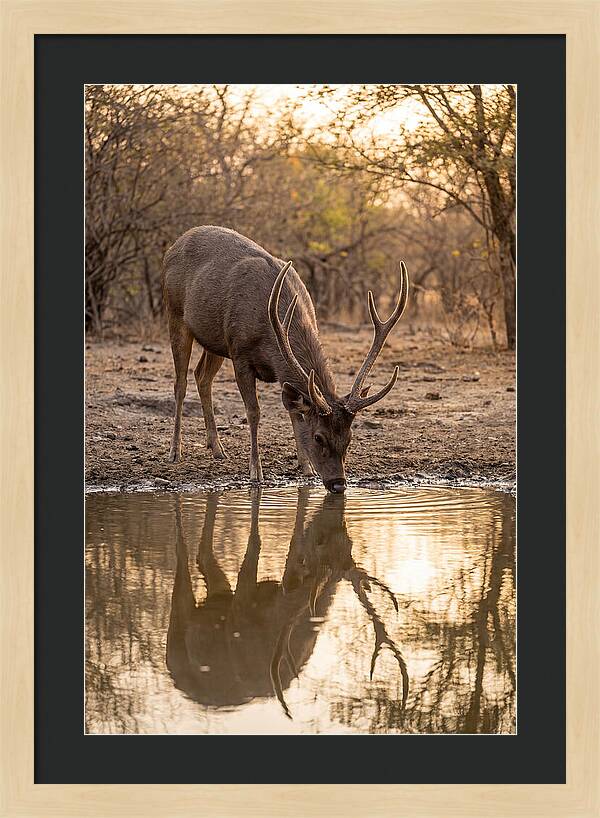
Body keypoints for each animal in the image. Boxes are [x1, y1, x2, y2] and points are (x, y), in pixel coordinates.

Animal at [163, 225, 409, 493]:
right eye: (319, 437)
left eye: (349, 437)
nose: (338, 484)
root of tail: (173, 245)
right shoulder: (239, 354)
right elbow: (254, 411)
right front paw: (256, 472)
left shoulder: (277, 369)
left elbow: (294, 412)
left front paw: (306, 467)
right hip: (175, 314)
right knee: (180, 383)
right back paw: (175, 451)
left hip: (214, 341)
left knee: (202, 376)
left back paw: (217, 448)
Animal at [166, 488, 408, 719]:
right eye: (320, 540)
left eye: (350, 542)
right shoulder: (238, 614)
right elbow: (257, 545)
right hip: (177, 638)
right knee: (182, 565)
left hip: (218, 597)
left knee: (204, 558)